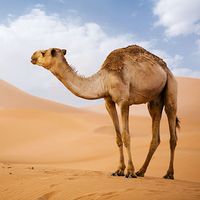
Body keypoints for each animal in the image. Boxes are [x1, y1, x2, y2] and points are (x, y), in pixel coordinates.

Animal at [30, 45, 180, 180]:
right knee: (155, 131)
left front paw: (130, 172)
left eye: (44, 52)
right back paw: (141, 171)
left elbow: (126, 136)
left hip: (171, 86)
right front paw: (119, 170)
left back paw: (168, 174)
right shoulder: (108, 101)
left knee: (172, 126)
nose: (32, 56)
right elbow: (118, 137)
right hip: (155, 99)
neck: (104, 79)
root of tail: (166, 68)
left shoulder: (124, 101)